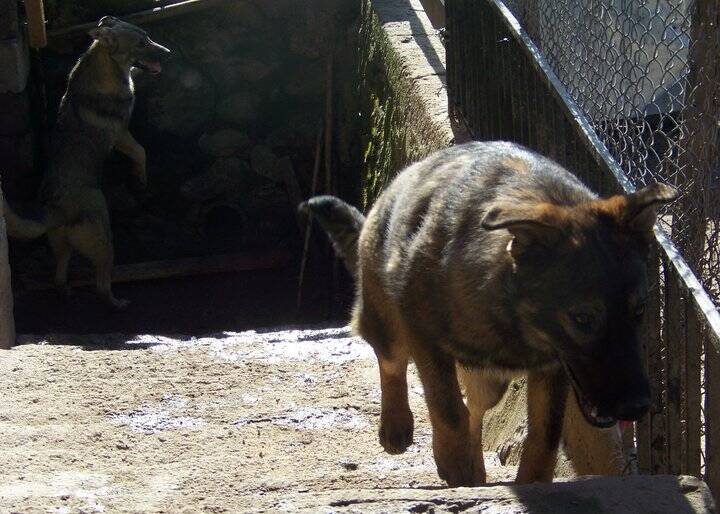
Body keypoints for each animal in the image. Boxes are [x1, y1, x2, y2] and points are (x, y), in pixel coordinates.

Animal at [4, 16, 169, 310]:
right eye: (141, 43)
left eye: (148, 37)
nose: (168, 53)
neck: (105, 63)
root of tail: (59, 210)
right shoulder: (121, 134)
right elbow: (141, 152)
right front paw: (140, 179)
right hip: (103, 240)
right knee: (101, 286)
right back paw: (117, 304)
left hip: (62, 246)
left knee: (59, 276)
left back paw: (67, 292)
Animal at [300, 141, 677, 486]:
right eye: (583, 319)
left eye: (639, 310)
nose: (637, 407)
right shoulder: (423, 335)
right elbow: (447, 407)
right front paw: (454, 462)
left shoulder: (552, 367)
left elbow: (545, 435)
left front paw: (530, 482)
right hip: (388, 319)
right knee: (392, 360)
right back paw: (397, 424)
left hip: (491, 379)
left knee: (475, 408)